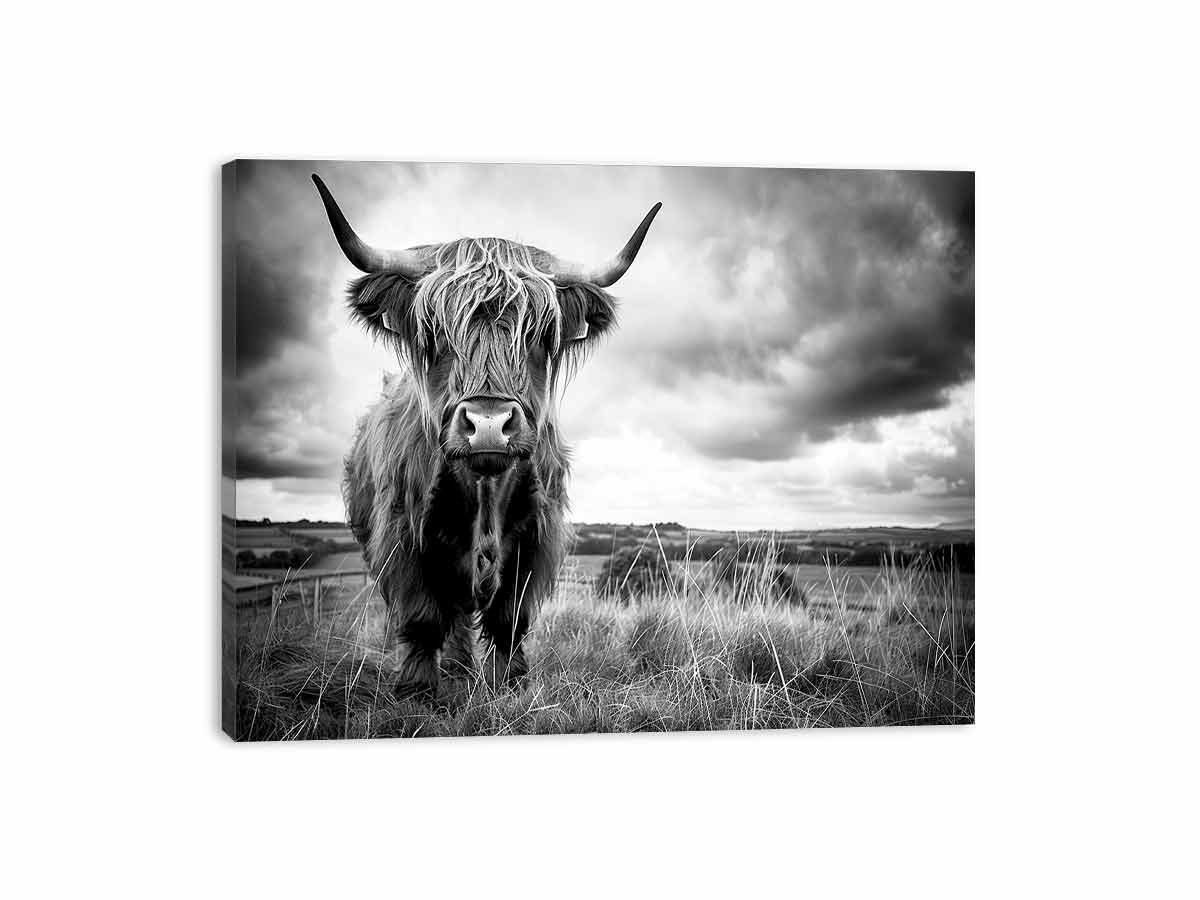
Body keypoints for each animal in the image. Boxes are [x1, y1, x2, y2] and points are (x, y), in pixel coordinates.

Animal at [312, 174, 660, 699]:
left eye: (540, 334)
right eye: (433, 332)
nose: (490, 424)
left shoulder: (537, 536)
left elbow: (509, 618)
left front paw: (510, 683)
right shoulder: (402, 536)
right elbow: (423, 617)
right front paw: (417, 689)